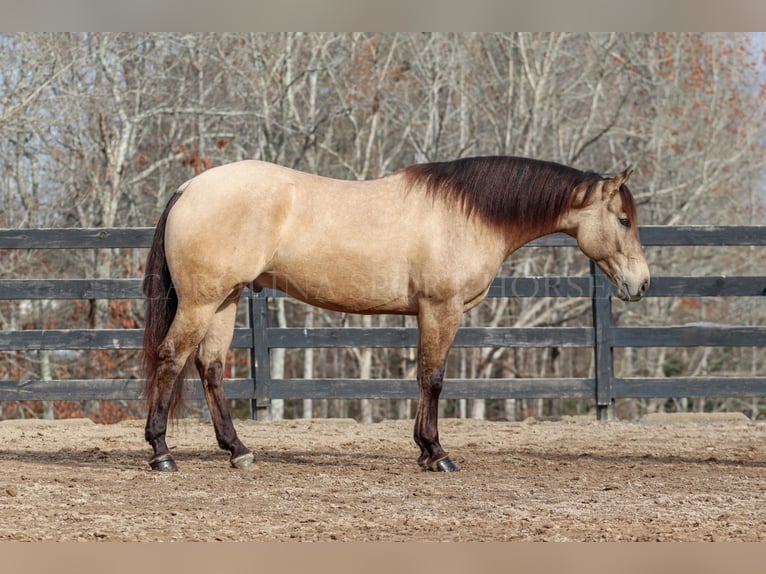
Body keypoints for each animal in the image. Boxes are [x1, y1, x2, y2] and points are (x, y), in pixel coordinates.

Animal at [141, 155, 652, 474]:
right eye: (623, 220)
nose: (642, 284)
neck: (467, 214)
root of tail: (190, 188)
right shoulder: (441, 309)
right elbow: (434, 378)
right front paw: (437, 454)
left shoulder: (430, 312)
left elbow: (423, 377)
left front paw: (425, 451)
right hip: (201, 301)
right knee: (170, 359)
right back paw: (162, 454)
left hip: (225, 300)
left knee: (209, 367)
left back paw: (238, 451)